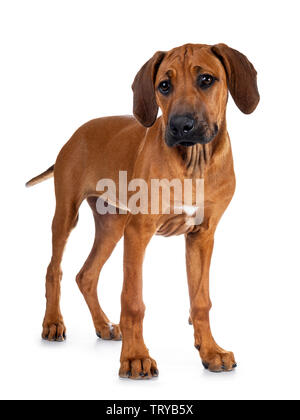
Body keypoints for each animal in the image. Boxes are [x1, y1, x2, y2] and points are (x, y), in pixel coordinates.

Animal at [27, 42, 258, 378]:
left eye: (206, 79)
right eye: (164, 85)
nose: (180, 126)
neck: (194, 163)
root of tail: (77, 132)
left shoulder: (202, 236)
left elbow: (201, 301)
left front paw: (211, 351)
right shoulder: (139, 232)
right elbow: (133, 300)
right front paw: (135, 357)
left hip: (112, 226)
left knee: (86, 275)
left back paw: (103, 325)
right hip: (68, 214)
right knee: (53, 270)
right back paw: (53, 323)